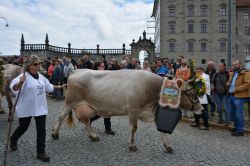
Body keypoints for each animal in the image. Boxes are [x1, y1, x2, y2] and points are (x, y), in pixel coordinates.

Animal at [51, 69, 202, 152]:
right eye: (192, 93)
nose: (200, 109)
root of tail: (76, 71)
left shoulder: (151, 111)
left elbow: (161, 129)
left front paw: (168, 145)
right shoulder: (134, 110)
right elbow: (133, 129)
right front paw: (132, 145)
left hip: (89, 106)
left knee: (87, 120)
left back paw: (93, 136)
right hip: (70, 102)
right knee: (61, 116)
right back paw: (55, 133)